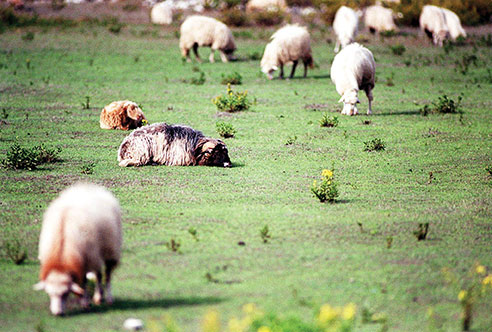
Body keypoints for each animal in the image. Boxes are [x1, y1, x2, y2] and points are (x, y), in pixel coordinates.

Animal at [34, 184, 122, 316]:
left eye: (65, 293)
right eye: (49, 293)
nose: (57, 313)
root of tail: (88, 186)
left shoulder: (85, 259)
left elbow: (83, 282)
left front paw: (84, 303)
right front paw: (83, 300)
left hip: (109, 250)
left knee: (106, 275)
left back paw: (107, 298)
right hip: (96, 254)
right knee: (99, 274)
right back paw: (99, 297)